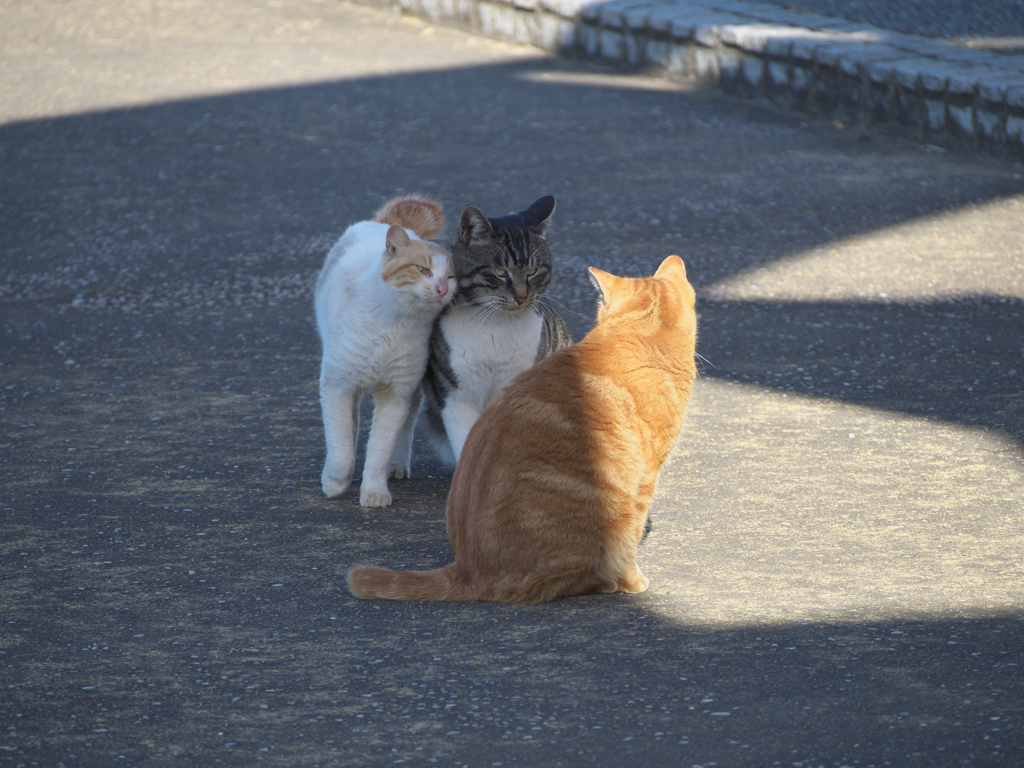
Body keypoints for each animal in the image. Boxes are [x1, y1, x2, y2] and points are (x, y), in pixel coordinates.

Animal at [313, 198, 454, 507]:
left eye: (451, 277)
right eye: (423, 270)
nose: (441, 289)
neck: (394, 325)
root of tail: (383, 223)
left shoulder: (397, 393)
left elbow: (380, 448)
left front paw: (374, 490)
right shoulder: (337, 386)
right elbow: (341, 448)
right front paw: (335, 482)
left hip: (412, 390)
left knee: (406, 425)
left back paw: (396, 465)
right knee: (350, 428)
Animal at [348, 256, 700, 606]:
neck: (640, 336)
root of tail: (466, 569)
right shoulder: (644, 480)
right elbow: (630, 543)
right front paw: (633, 581)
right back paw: (604, 582)